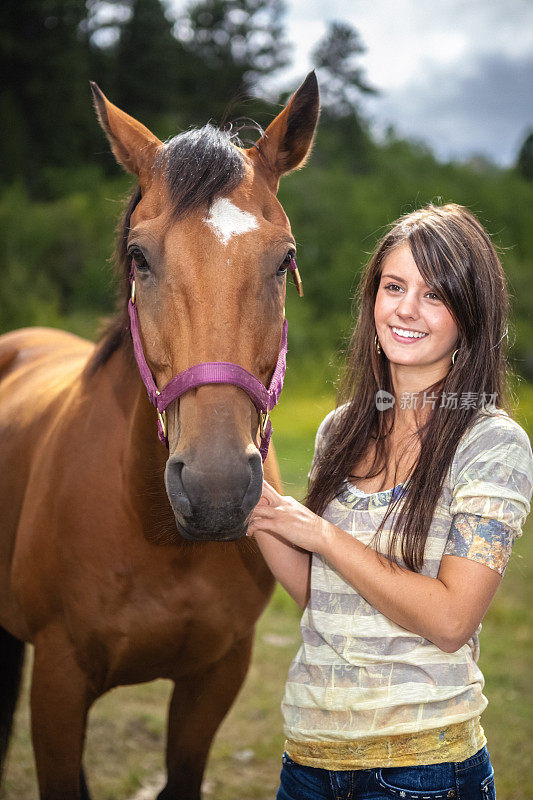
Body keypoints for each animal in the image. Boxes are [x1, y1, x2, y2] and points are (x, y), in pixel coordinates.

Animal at [0, 75, 318, 800]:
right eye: (139, 257)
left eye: (283, 260)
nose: (216, 489)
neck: (156, 534)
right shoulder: (57, 683)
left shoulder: (216, 676)